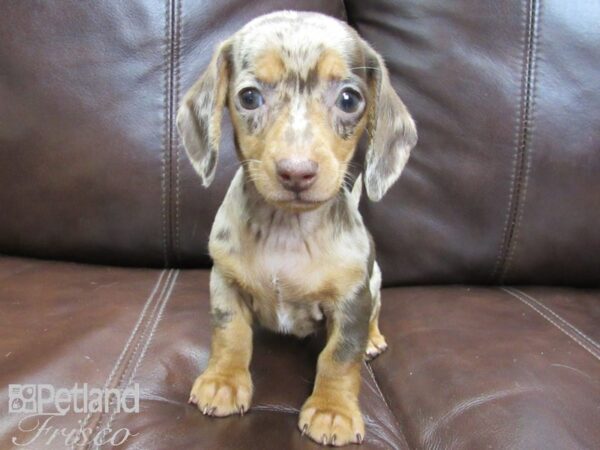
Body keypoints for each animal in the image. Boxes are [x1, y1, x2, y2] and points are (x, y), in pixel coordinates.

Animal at [176, 10, 414, 446]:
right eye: (248, 97)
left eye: (349, 99)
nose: (296, 172)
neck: (286, 230)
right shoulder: (224, 281)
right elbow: (230, 334)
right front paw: (224, 382)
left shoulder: (352, 302)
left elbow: (340, 357)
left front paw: (332, 410)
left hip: (374, 282)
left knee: (374, 315)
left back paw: (373, 339)